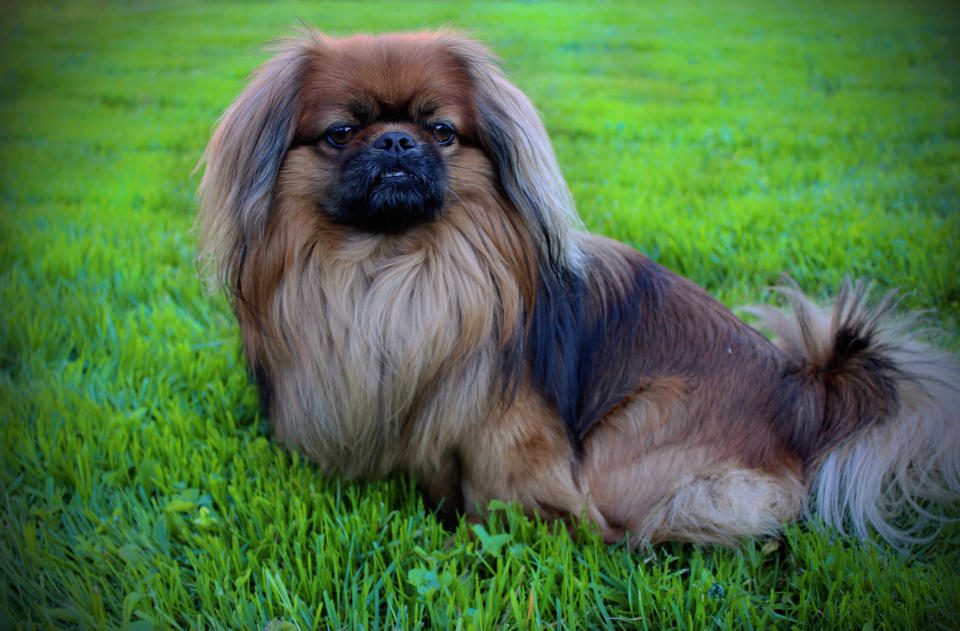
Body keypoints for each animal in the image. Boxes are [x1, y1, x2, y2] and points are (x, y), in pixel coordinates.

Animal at [197, 29, 960, 544]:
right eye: (342, 132)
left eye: (441, 131)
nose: (395, 142)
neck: (394, 269)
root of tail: (804, 396)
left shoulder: (511, 444)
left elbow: (508, 503)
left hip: (633, 438)